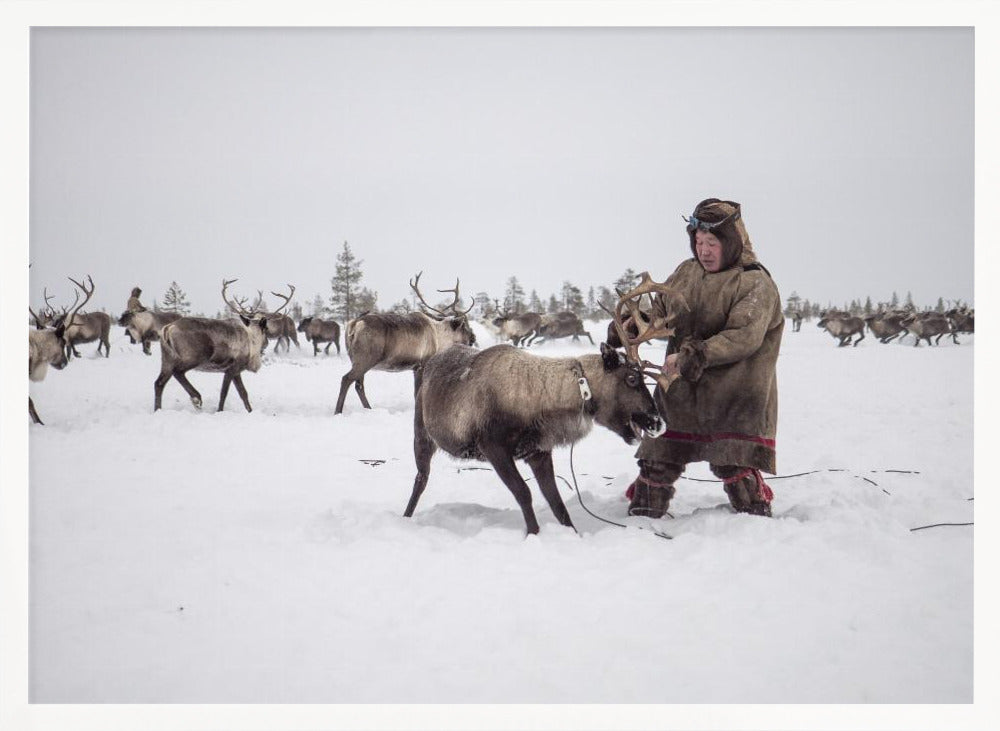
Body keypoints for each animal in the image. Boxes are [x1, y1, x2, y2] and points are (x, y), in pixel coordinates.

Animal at [153, 280, 293, 412]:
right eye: (266, 329)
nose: (266, 343)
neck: (251, 339)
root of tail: (168, 328)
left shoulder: (236, 371)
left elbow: (243, 393)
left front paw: (250, 411)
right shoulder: (231, 369)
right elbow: (224, 393)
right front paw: (219, 411)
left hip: (167, 358)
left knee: (159, 383)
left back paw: (158, 409)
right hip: (192, 358)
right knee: (177, 372)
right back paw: (196, 398)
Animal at [334, 272, 478, 414]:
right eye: (464, 326)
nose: (473, 338)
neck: (439, 336)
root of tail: (355, 323)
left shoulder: (414, 368)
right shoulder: (422, 364)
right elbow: (417, 392)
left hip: (356, 359)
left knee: (358, 385)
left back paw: (368, 409)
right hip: (365, 359)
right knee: (347, 379)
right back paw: (338, 411)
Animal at [404, 272, 686, 536]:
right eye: (631, 378)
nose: (658, 422)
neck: (544, 401)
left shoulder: (538, 451)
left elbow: (556, 501)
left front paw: (572, 534)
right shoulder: (493, 446)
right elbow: (524, 493)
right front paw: (533, 534)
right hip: (422, 433)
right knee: (420, 478)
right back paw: (406, 517)